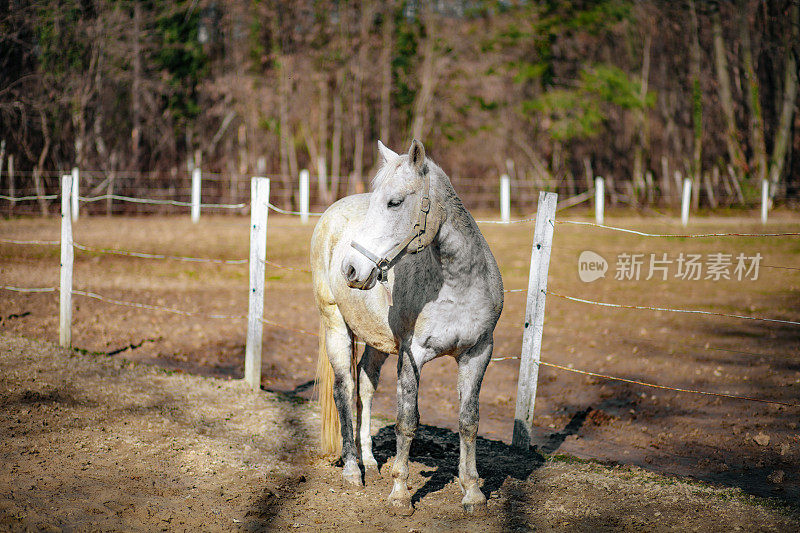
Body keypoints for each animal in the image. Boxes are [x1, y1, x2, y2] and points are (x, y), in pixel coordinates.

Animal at [310, 139, 504, 512]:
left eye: (395, 202)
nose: (351, 269)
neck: (457, 284)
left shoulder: (477, 353)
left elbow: (468, 422)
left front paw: (472, 492)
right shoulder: (413, 354)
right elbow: (407, 421)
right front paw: (400, 493)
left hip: (377, 340)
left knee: (365, 385)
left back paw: (370, 461)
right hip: (335, 325)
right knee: (344, 391)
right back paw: (352, 469)